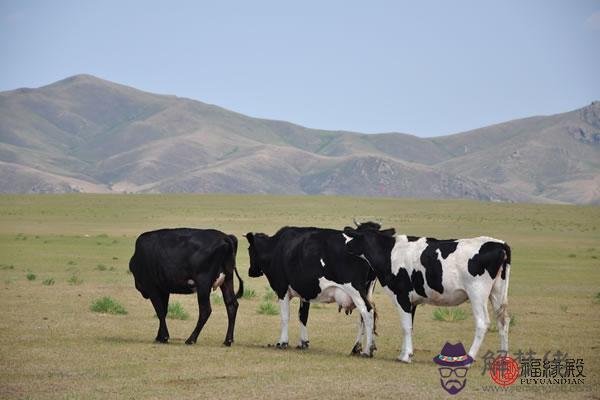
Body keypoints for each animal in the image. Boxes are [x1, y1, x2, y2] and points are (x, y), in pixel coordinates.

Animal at [245, 223, 390, 358]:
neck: (276, 248)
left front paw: (282, 342)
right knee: (363, 317)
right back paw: (357, 348)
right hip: (366, 292)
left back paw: (367, 350)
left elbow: (285, 317)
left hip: (355, 291)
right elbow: (303, 316)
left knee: (367, 312)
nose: (251, 272)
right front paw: (303, 343)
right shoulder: (305, 292)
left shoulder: (282, 289)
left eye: (249, 249)